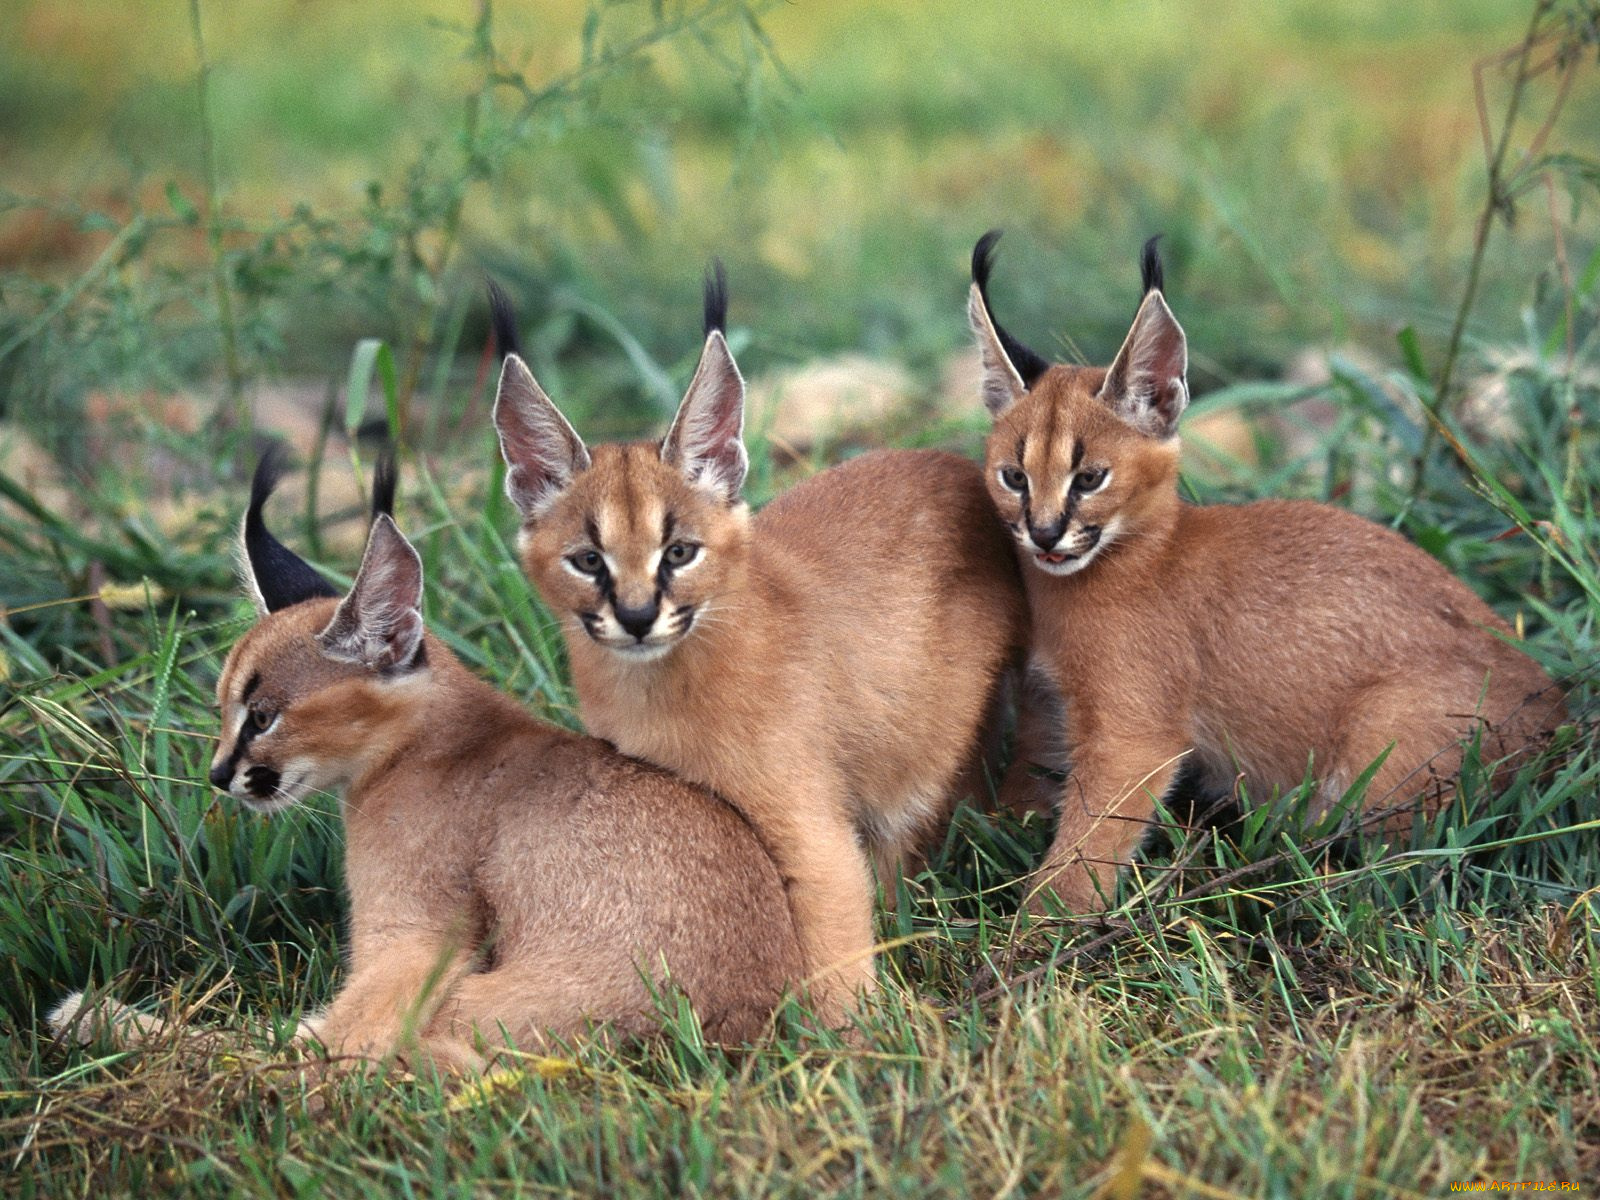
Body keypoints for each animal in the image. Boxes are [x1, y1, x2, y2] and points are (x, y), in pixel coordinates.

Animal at [50, 454, 800, 1075]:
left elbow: (314, 1052)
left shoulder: (411, 937)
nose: (216, 773)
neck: (411, 749)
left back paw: (93, 1020)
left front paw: (94, 1018)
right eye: (220, 707)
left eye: (261, 716)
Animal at [489, 272, 1036, 1024]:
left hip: (919, 756)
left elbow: (834, 950)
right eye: (587, 561)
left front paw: (851, 1045)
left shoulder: (812, 832)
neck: (656, 685)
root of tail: (951, 463)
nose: (636, 617)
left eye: (679, 552)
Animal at [966, 232, 1568, 908]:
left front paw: (1038, 926)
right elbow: (1026, 788)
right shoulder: (1050, 702)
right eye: (1014, 477)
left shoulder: (1133, 735)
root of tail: (1562, 708)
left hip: (1380, 747)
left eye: (1091, 477)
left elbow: (1086, 847)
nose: (1044, 533)